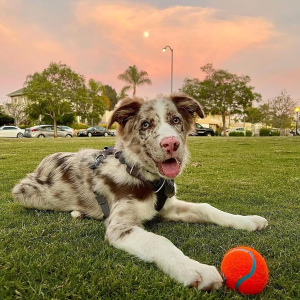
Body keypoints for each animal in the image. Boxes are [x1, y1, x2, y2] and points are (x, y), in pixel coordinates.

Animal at [12, 93, 268, 290]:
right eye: (145, 125)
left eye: (176, 120)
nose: (171, 143)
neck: (147, 178)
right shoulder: (120, 227)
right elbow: (160, 241)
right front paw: (195, 269)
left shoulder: (167, 206)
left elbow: (207, 208)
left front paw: (246, 220)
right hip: (26, 193)